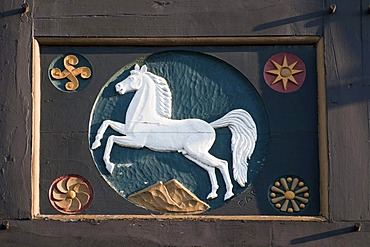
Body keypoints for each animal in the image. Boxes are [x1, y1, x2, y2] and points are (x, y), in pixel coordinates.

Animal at [92, 64, 258, 201]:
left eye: (132, 77)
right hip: (190, 154)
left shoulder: (136, 142)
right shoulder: (126, 131)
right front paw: (95, 143)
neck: (143, 116)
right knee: (211, 168)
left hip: (196, 152)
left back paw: (228, 194)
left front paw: (109, 165)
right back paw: (212, 194)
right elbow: (106, 123)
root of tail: (211, 126)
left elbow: (111, 138)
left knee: (222, 164)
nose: (117, 87)